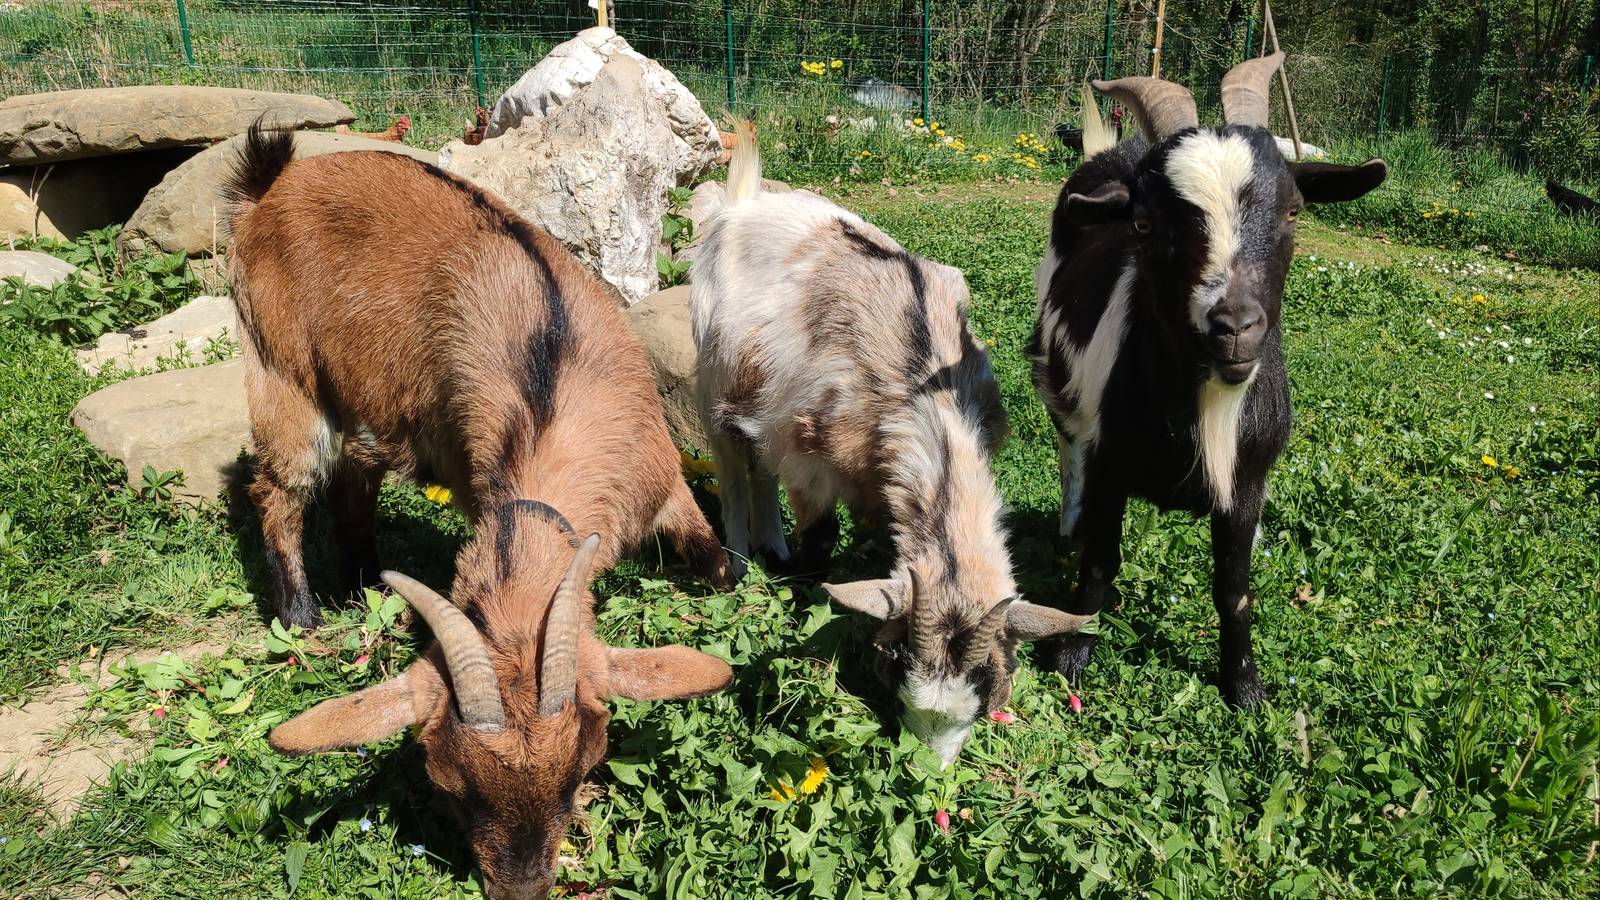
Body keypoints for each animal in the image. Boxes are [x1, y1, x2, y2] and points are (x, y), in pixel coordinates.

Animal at [225, 125, 735, 899]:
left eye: (581, 772)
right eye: (450, 787)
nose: (520, 889)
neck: (554, 379)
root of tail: (275, 181)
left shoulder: (665, 483)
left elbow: (721, 568)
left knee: (351, 483)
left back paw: (364, 582)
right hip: (280, 366)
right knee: (277, 491)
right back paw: (300, 614)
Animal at [691, 122, 1089, 767]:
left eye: (984, 693)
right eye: (899, 674)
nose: (930, 772)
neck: (923, 392)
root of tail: (745, 202)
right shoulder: (810, 460)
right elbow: (821, 540)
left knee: (760, 470)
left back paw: (772, 547)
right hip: (711, 380)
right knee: (733, 472)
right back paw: (744, 561)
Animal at [1029, 55, 1388, 707]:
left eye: (1293, 210)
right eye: (1145, 224)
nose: (1235, 328)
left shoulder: (1249, 481)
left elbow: (1233, 588)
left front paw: (1244, 686)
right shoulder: (1108, 460)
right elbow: (1099, 562)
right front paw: (1071, 654)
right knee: (1067, 449)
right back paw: (1068, 526)